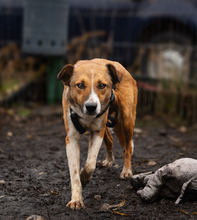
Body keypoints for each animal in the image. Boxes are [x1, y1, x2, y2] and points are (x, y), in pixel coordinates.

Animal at [57, 58, 137, 210]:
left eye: (102, 85)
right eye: (80, 85)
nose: (91, 107)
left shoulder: (97, 132)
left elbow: (90, 164)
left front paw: (84, 177)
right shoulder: (71, 138)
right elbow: (74, 173)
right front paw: (76, 199)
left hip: (126, 119)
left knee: (128, 147)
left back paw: (126, 170)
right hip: (106, 124)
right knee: (110, 140)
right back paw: (109, 161)